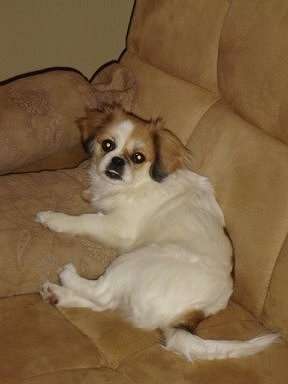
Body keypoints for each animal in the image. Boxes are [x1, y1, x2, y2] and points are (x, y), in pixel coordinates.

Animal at [36, 105, 276, 360]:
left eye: (138, 158)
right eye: (108, 145)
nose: (117, 161)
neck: (138, 183)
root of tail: (195, 312)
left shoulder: (120, 228)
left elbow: (85, 220)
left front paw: (53, 218)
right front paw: (90, 194)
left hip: (140, 257)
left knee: (102, 292)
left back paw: (67, 276)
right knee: (106, 301)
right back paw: (56, 294)